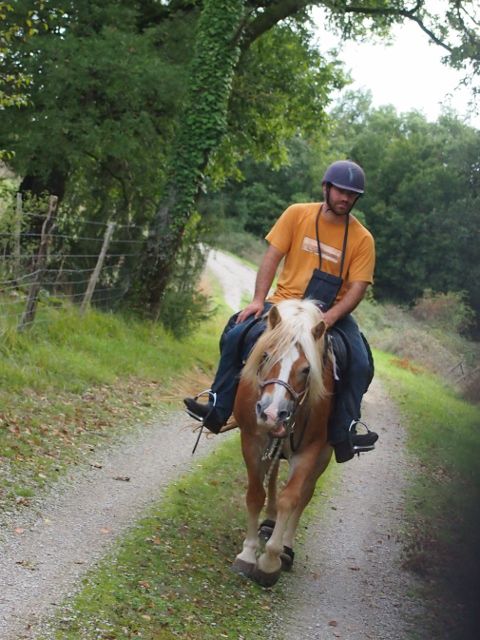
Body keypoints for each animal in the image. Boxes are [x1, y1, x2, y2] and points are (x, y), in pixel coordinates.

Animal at [231, 298, 335, 588]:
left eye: (306, 369)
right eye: (266, 356)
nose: (271, 413)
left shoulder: (310, 450)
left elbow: (292, 498)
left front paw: (270, 561)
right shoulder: (252, 440)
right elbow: (256, 494)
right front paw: (248, 553)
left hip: (323, 455)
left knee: (305, 494)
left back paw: (286, 548)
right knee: (274, 476)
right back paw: (269, 518)